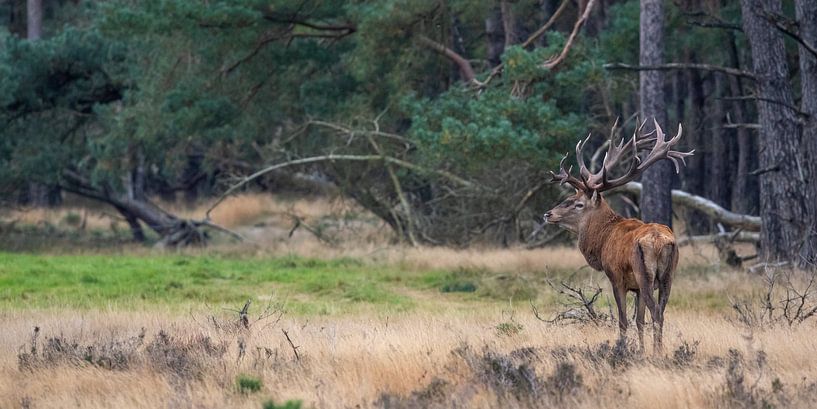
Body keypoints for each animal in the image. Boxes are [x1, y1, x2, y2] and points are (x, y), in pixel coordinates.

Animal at [543, 119, 693, 352]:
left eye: (578, 204)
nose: (548, 214)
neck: (602, 241)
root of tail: (660, 241)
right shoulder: (637, 288)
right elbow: (638, 320)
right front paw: (641, 351)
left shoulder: (616, 277)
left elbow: (623, 320)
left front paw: (623, 349)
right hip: (669, 275)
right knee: (661, 312)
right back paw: (658, 350)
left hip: (644, 273)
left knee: (656, 313)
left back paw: (658, 353)